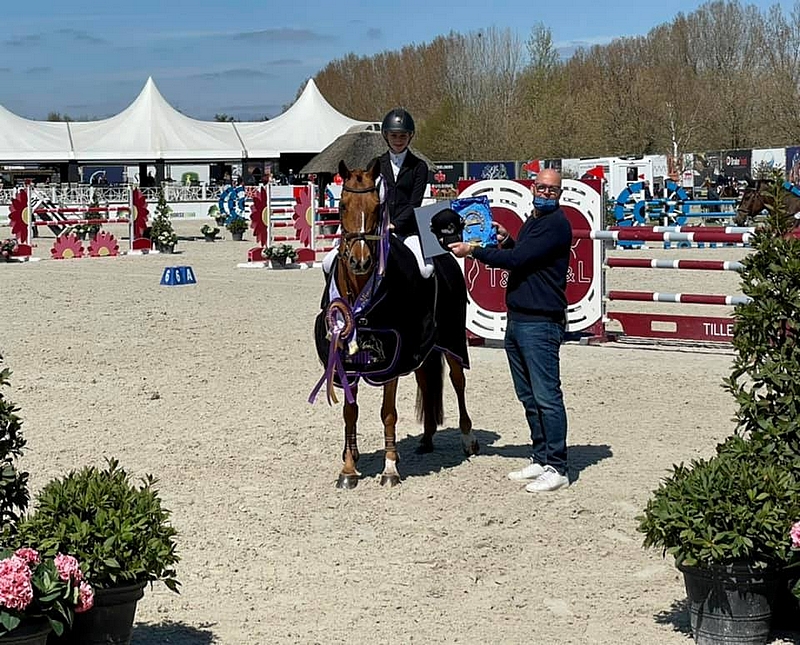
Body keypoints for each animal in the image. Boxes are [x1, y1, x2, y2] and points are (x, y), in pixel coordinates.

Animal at [310, 160, 476, 488]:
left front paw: (389, 469)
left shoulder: (393, 357)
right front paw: (348, 468)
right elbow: (350, 411)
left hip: (451, 341)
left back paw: (467, 439)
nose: (360, 261)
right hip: (424, 349)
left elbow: (388, 412)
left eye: (377, 207)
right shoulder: (345, 357)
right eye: (342, 205)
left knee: (457, 382)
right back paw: (426, 439)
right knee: (426, 381)